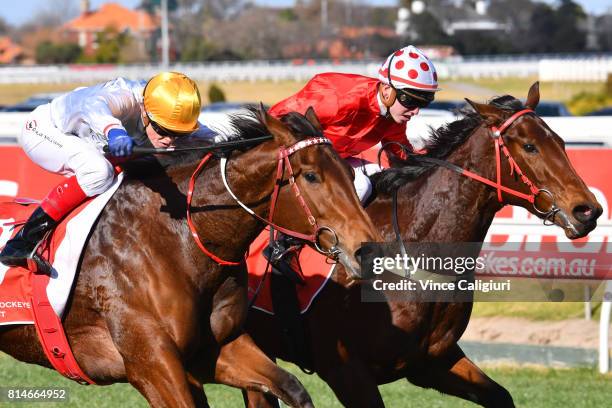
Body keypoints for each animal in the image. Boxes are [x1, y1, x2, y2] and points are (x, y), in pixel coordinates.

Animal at [0, 107, 380, 406]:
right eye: (312, 176)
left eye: (351, 173)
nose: (368, 249)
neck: (180, 239)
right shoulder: (151, 364)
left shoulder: (213, 349)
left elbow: (291, 386)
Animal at [244, 83, 604, 408]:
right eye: (529, 146)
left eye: (560, 141)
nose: (588, 210)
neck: (409, 250)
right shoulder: (344, 369)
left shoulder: (431, 361)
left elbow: (501, 397)